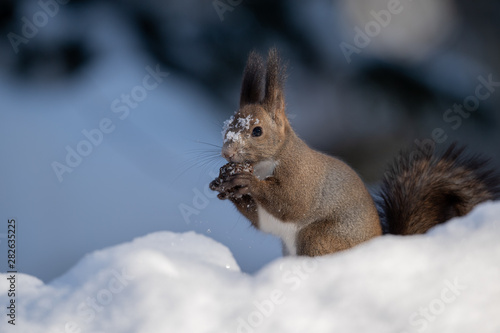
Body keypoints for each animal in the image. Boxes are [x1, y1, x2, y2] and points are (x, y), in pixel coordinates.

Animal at [208, 48, 500, 255]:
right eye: (226, 127)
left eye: (257, 131)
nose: (228, 153)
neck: (265, 164)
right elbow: (261, 219)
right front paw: (225, 186)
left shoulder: (302, 176)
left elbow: (290, 203)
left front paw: (247, 182)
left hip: (319, 238)